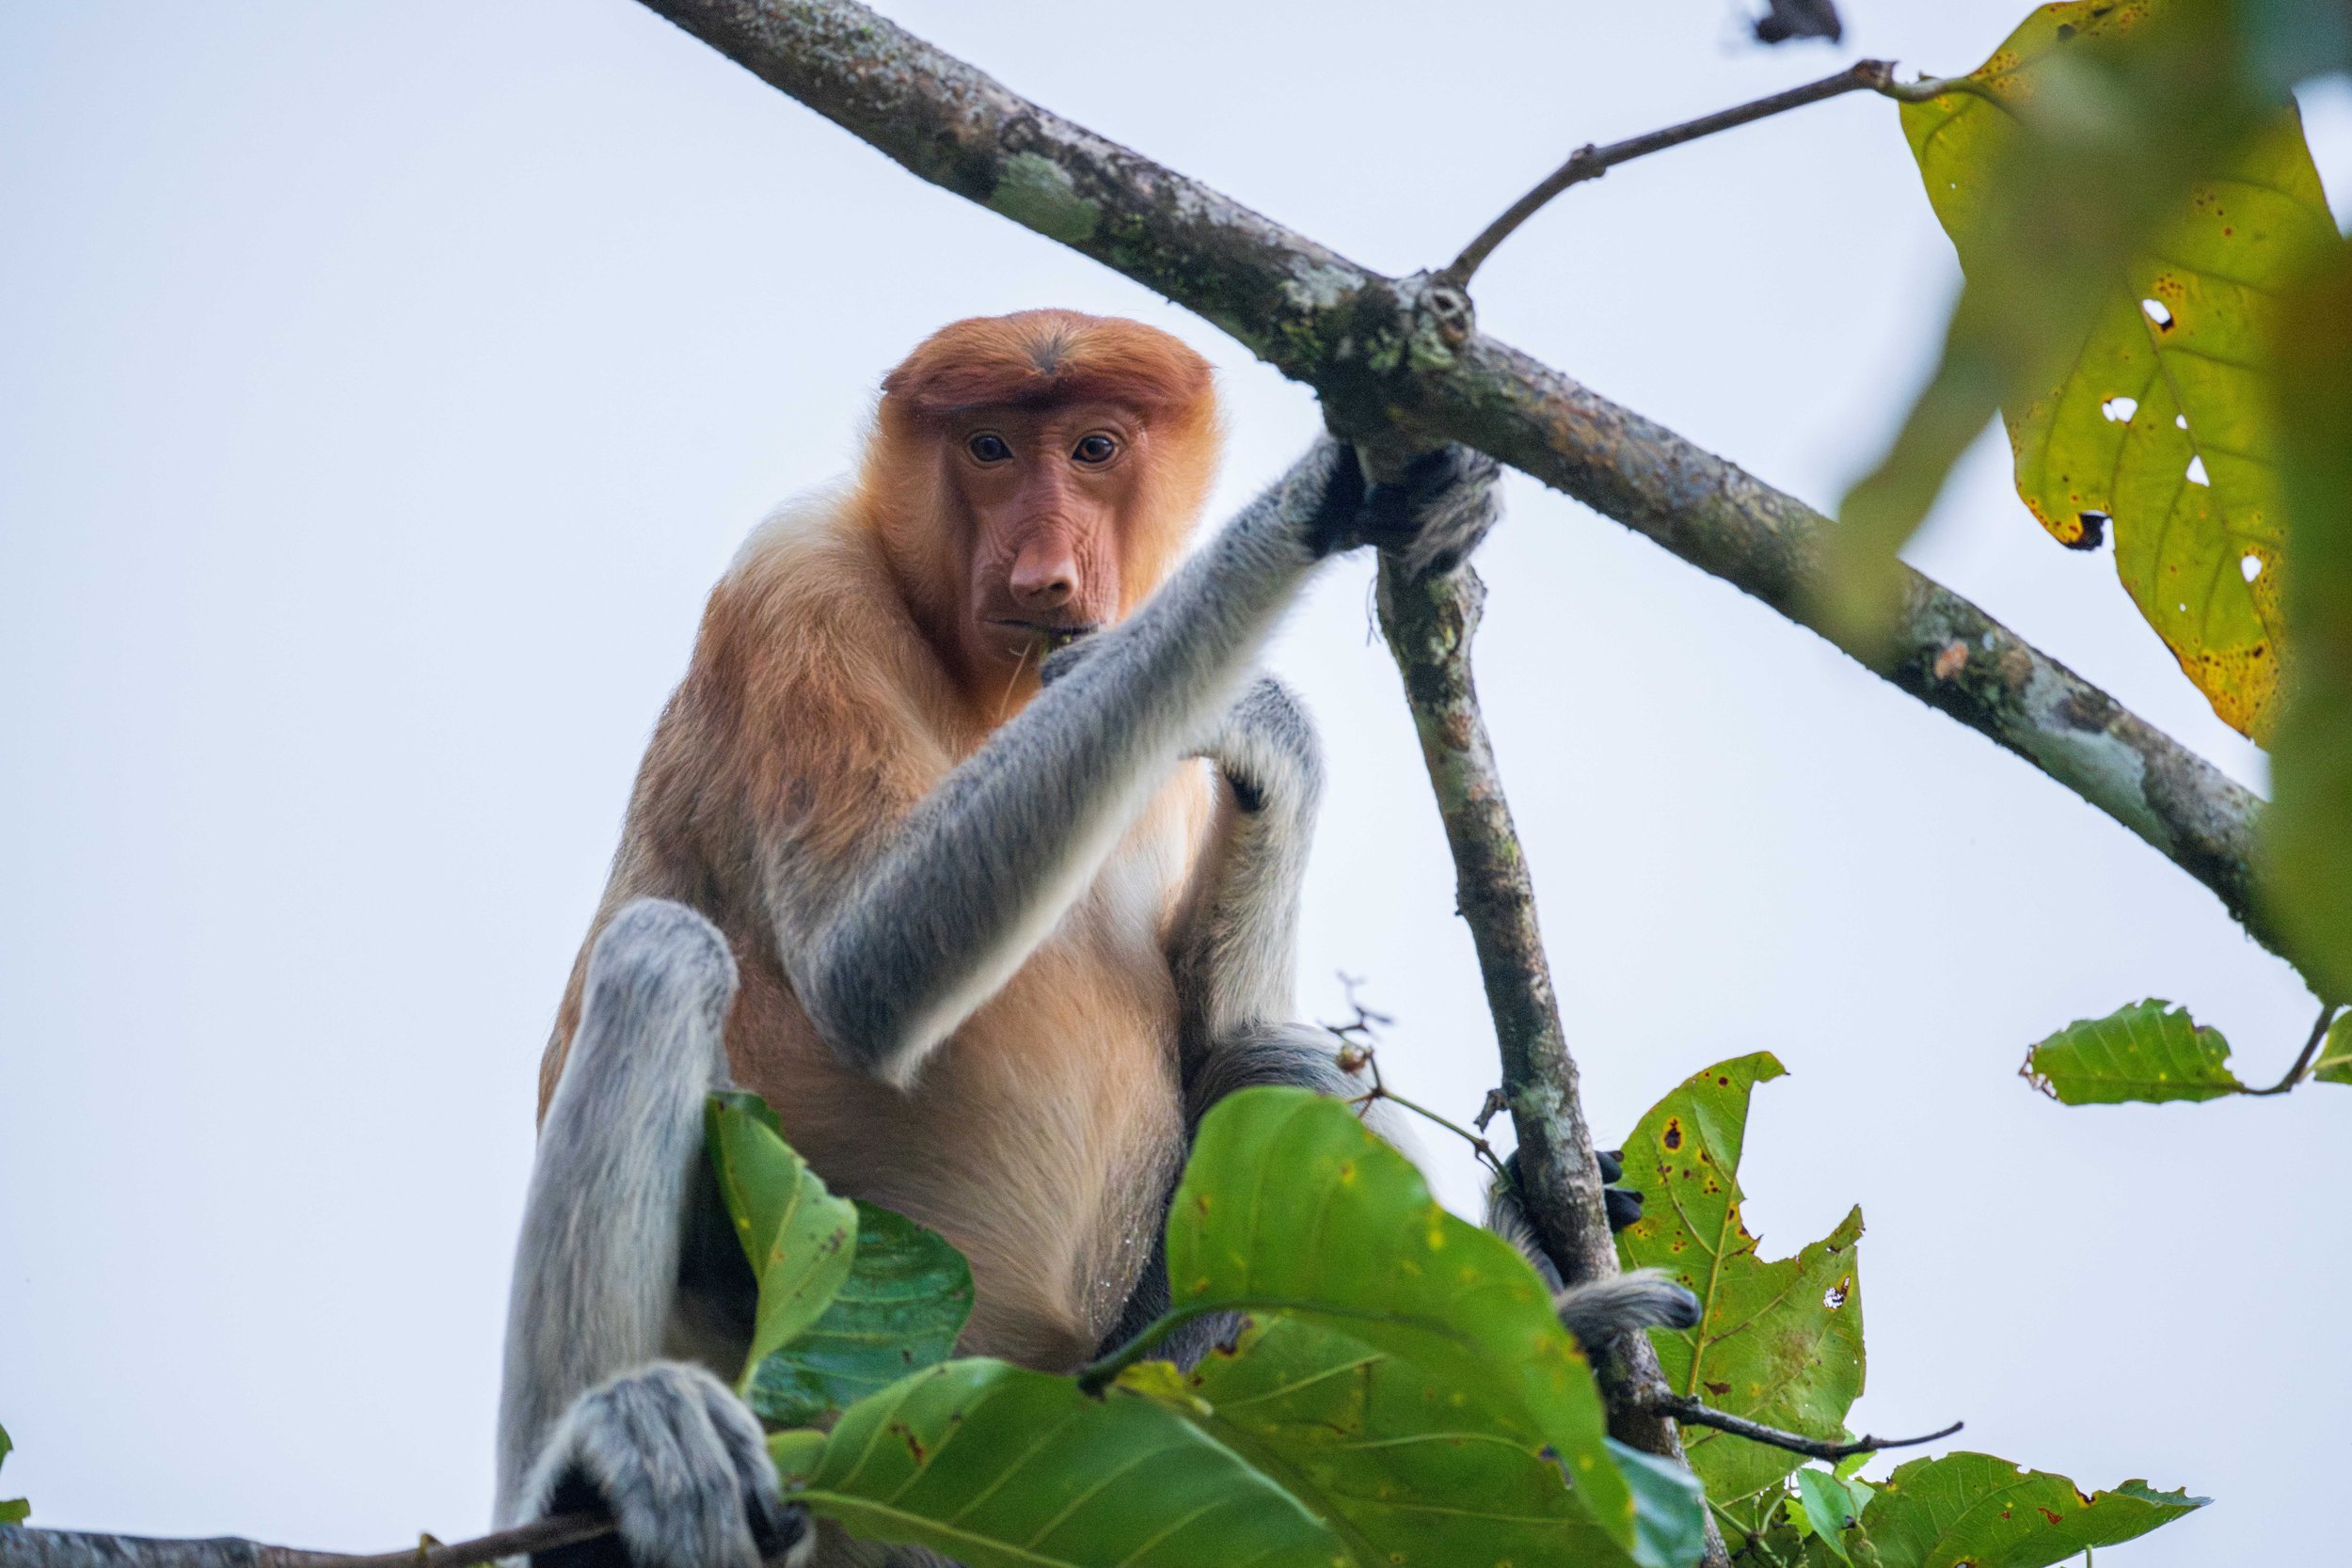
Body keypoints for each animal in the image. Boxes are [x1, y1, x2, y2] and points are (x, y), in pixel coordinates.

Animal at [492, 311, 1697, 1568]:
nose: (1043, 574)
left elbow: (1221, 1020)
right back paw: (610, 1455)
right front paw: (1337, 490)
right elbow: (865, 972)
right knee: (662, 953)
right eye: (987, 447)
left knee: (1290, 1067)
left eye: (1094, 449)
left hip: (1115, 1388)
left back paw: (1549, 1319)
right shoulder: (795, 586)